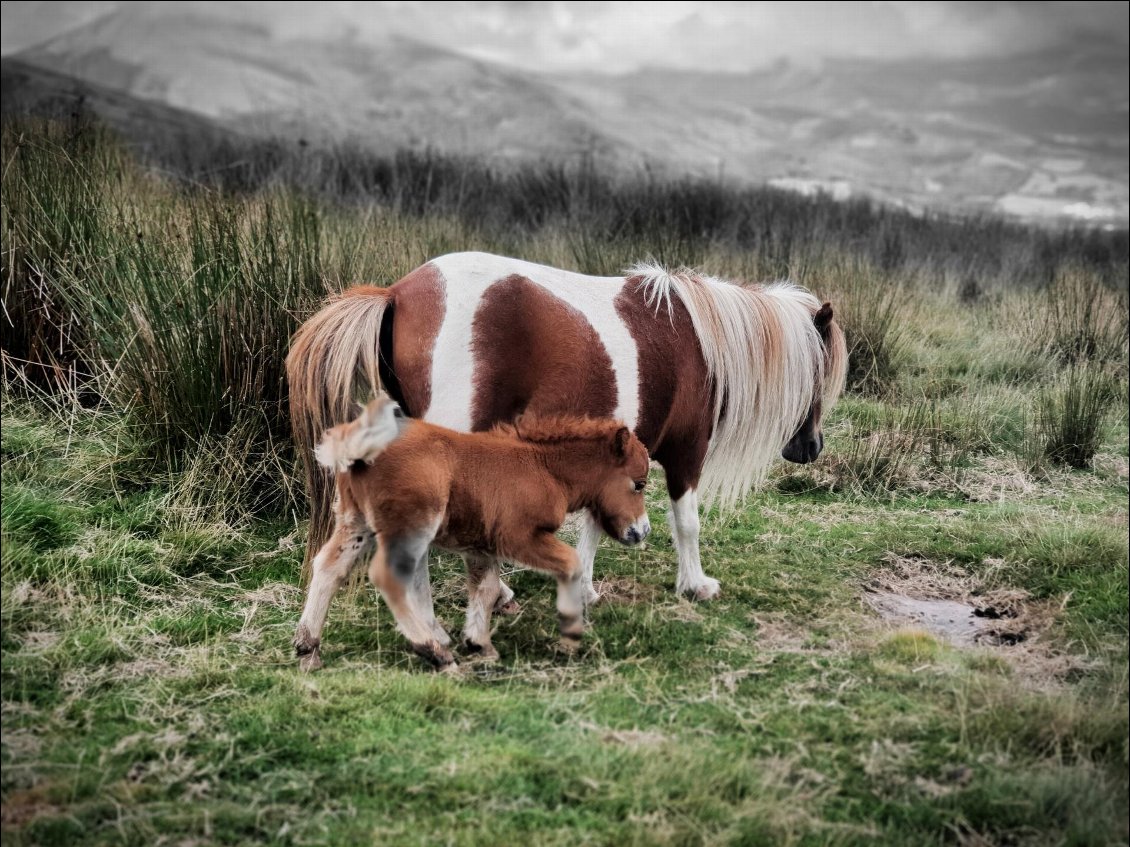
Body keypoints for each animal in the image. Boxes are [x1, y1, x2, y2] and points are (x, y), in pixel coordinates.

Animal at [287, 250, 845, 605]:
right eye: (821, 371)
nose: (810, 447)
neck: (697, 342)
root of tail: (398, 292)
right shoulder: (687, 453)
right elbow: (686, 522)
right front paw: (696, 586)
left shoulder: (616, 460)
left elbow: (599, 524)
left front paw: (587, 588)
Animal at [293, 395, 655, 673]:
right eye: (639, 484)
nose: (641, 532)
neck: (543, 468)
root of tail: (359, 446)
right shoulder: (518, 537)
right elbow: (570, 562)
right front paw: (570, 634)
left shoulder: (481, 545)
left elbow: (486, 587)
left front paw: (479, 643)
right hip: (411, 526)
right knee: (388, 577)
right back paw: (436, 653)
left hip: (356, 523)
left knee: (329, 568)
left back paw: (308, 648)